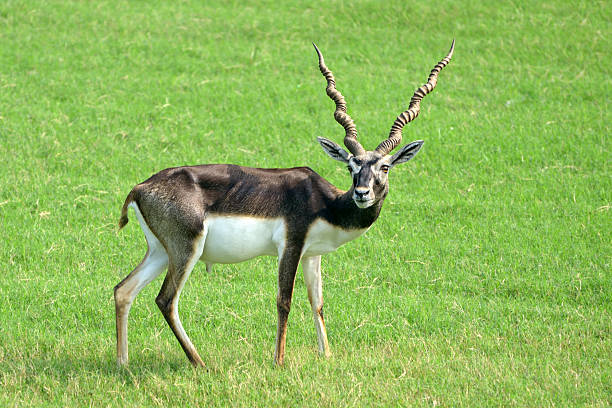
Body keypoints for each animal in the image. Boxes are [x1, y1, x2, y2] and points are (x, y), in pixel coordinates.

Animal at [115, 41, 452, 366]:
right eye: (351, 166)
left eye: (384, 167)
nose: (362, 193)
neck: (325, 203)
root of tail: (141, 188)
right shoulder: (290, 245)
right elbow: (284, 301)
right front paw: (279, 360)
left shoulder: (312, 255)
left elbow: (317, 302)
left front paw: (327, 356)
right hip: (187, 250)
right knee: (166, 300)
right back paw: (199, 362)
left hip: (161, 251)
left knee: (123, 290)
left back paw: (123, 363)